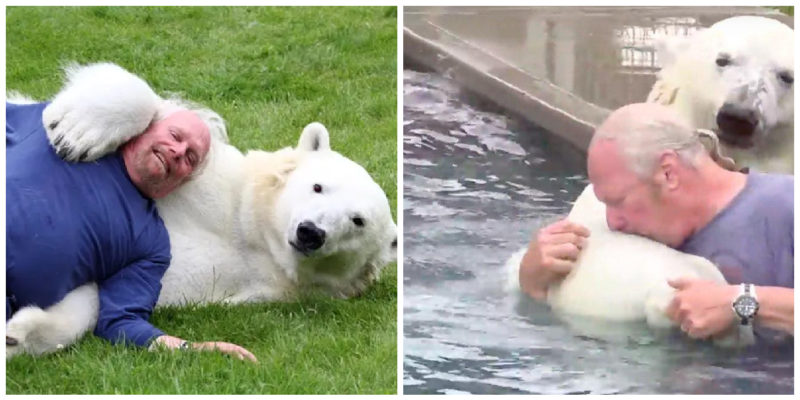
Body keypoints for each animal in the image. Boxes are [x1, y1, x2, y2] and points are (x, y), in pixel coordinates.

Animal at [4, 63, 396, 360]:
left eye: (358, 221)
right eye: (318, 186)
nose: (310, 232)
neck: (255, 237)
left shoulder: (236, 282)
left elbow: (95, 299)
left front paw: (17, 336)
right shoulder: (218, 183)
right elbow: (163, 107)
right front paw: (76, 130)